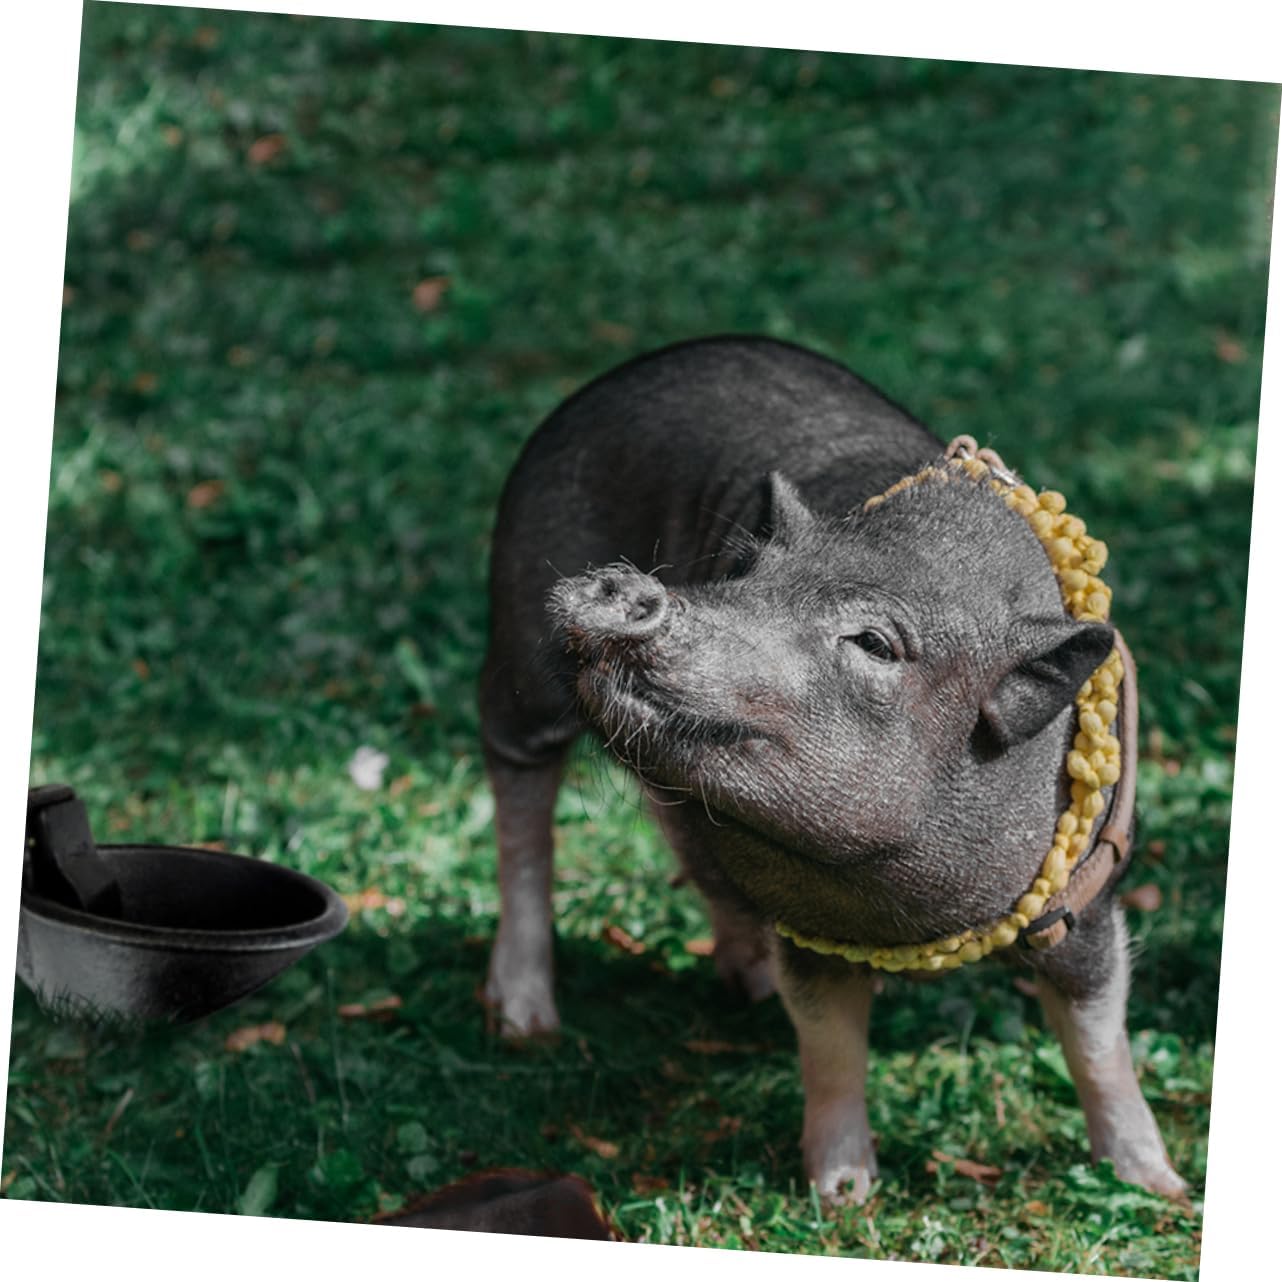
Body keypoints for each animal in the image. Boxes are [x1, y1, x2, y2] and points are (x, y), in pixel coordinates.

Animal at [479, 335, 1186, 1203]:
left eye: (875, 643)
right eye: (742, 574)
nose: (628, 584)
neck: (910, 921)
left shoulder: (1087, 891)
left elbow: (1098, 1038)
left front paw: (1160, 1186)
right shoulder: (811, 928)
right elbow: (830, 1047)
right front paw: (843, 1196)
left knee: (681, 831)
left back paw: (743, 986)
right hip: (517, 651)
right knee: (522, 811)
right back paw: (524, 1025)